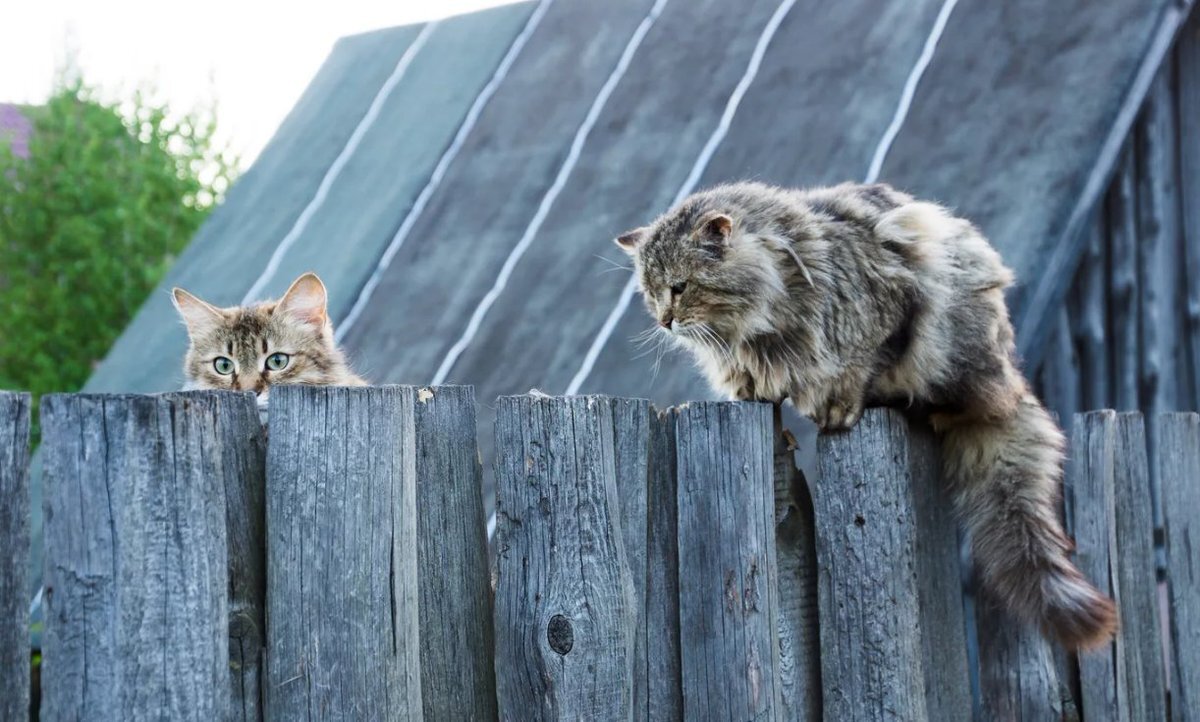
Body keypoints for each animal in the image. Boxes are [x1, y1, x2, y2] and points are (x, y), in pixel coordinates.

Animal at [619, 178, 1113, 647]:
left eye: (680, 287)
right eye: (650, 293)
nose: (664, 321)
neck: (762, 318)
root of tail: (1009, 379)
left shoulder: (888, 307)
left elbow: (860, 367)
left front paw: (840, 405)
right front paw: (752, 394)